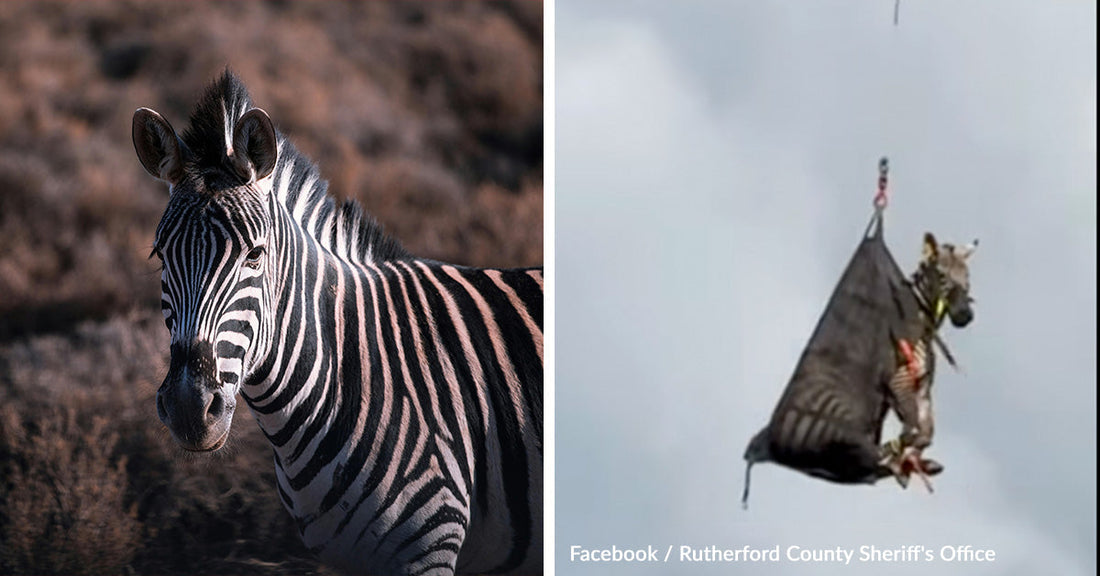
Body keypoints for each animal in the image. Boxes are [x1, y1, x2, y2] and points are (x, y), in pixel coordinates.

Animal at [742, 224, 976, 504]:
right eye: (940, 274)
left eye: (968, 276)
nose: (964, 316)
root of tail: (765, 443)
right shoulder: (897, 381)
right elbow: (912, 431)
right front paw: (900, 461)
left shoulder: (921, 384)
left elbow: (925, 433)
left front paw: (912, 462)